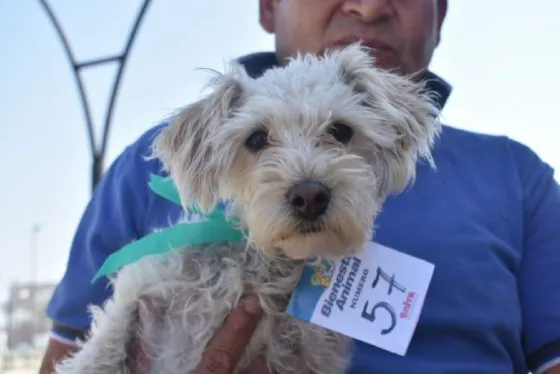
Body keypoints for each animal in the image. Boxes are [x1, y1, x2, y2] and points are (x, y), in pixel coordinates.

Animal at [54, 44, 444, 374]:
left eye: (341, 130)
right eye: (256, 138)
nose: (310, 196)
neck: (264, 269)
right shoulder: (140, 291)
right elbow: (105, 345)